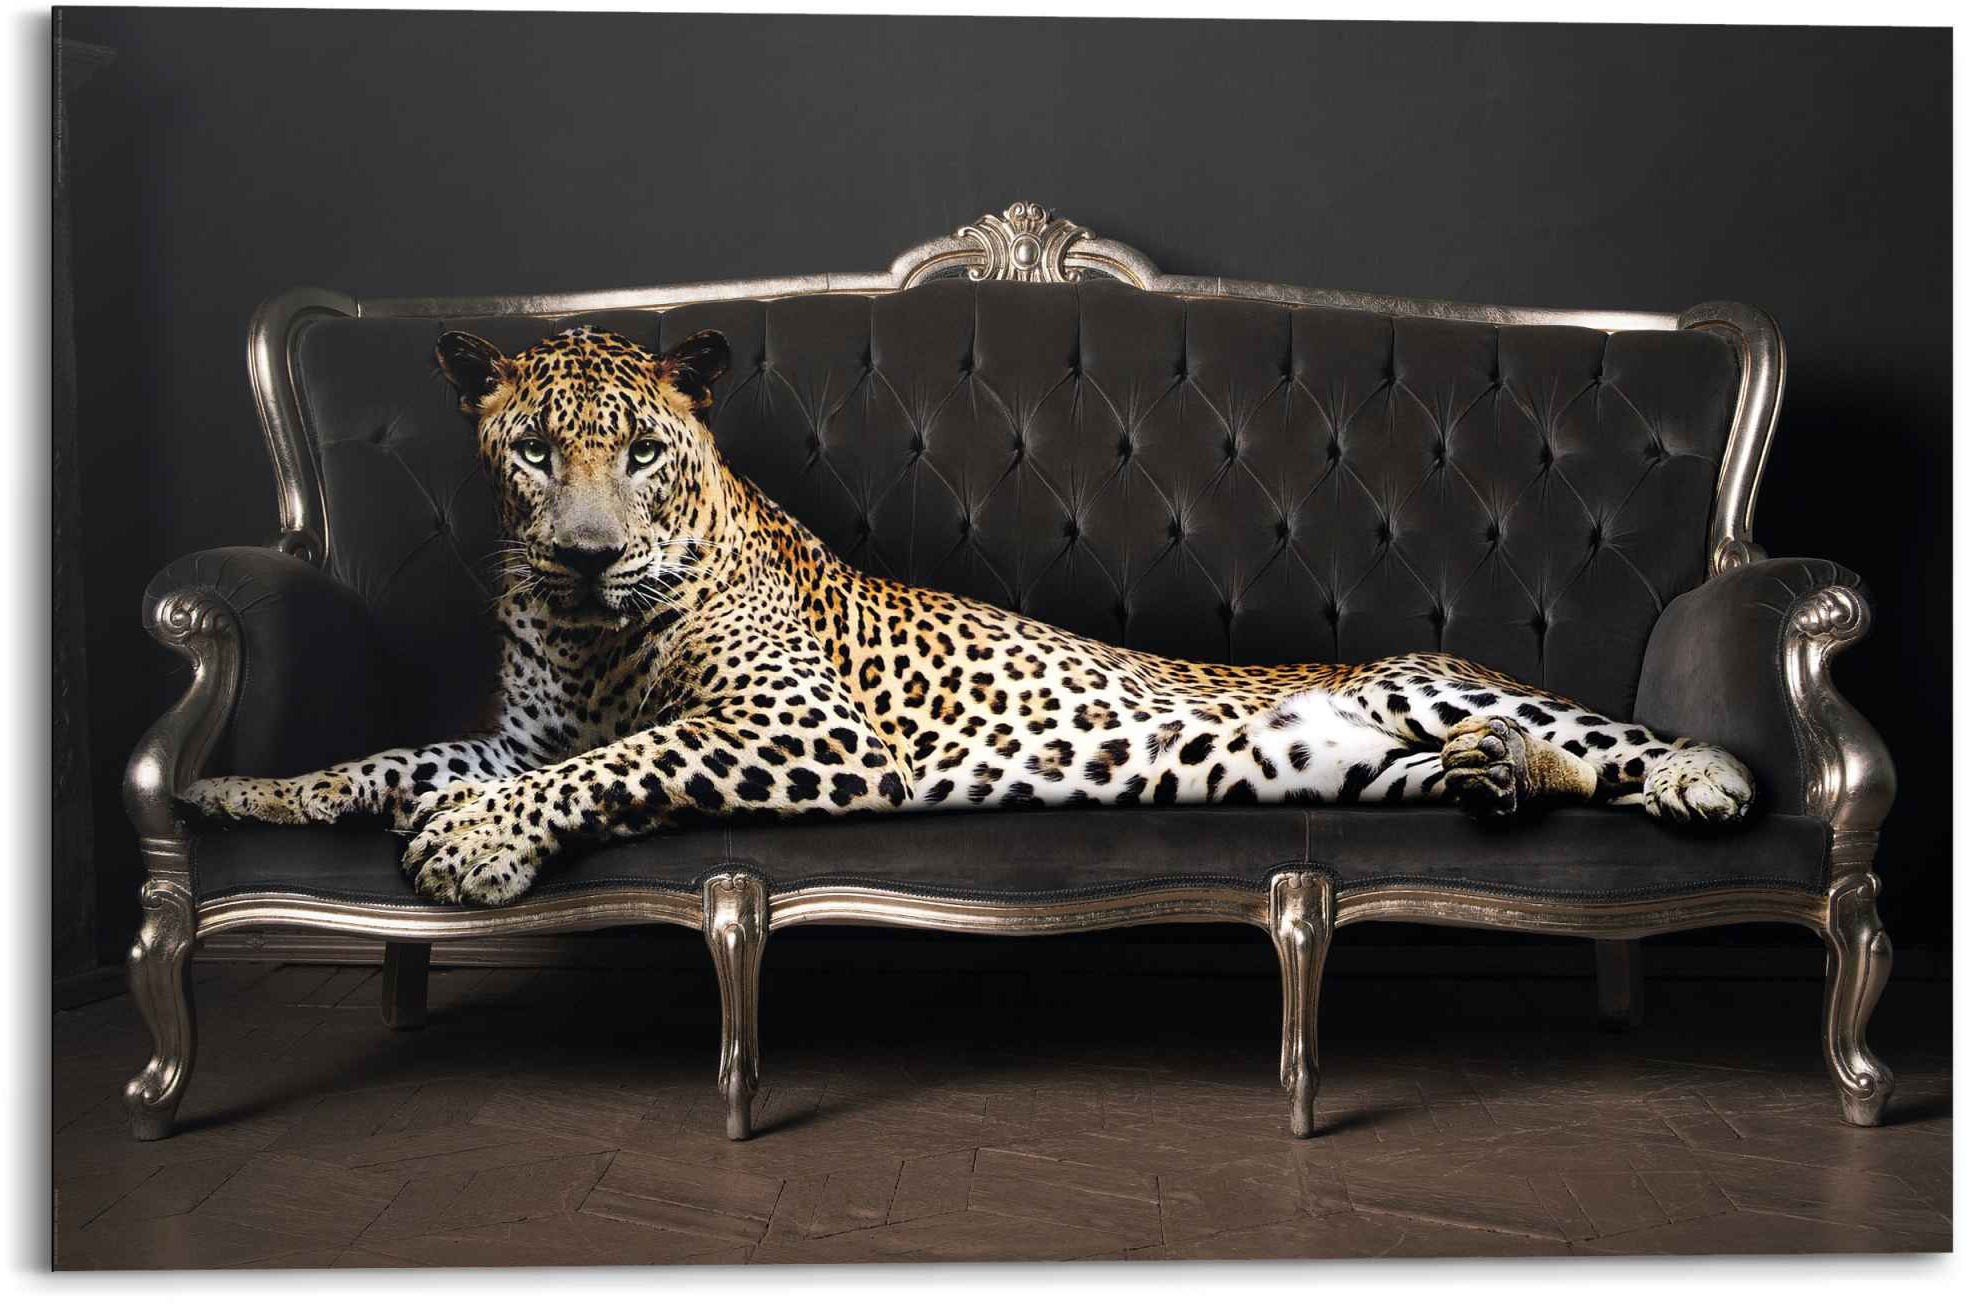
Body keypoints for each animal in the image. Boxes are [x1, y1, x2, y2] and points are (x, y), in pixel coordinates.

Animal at [185, 325, 1756, 905]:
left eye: (638, 452)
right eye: (528, 452)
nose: (581, 555)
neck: (591, 632)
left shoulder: (802, 729)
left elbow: (627, 759)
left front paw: (473, 845)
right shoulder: (518, 733)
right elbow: (392, 757)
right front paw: (244, 793)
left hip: (1427, 680)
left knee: (1604, 740)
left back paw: (1695, 775)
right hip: (1359, 763)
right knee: (1520, 769)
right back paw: (1496, 782)